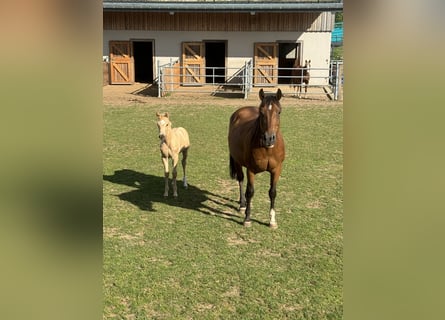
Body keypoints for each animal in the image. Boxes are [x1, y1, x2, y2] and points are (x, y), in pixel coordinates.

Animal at [227, 87, 286, 228]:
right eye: (261, 112)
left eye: (279, 112)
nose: (269, 138)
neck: (268, 149)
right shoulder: (251, 170)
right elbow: (250, 191)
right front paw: (247, 218)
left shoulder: (277, 169)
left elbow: (272, 192)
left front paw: (272, 221)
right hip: (237, 161)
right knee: (241, 180)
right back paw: (242, 204)